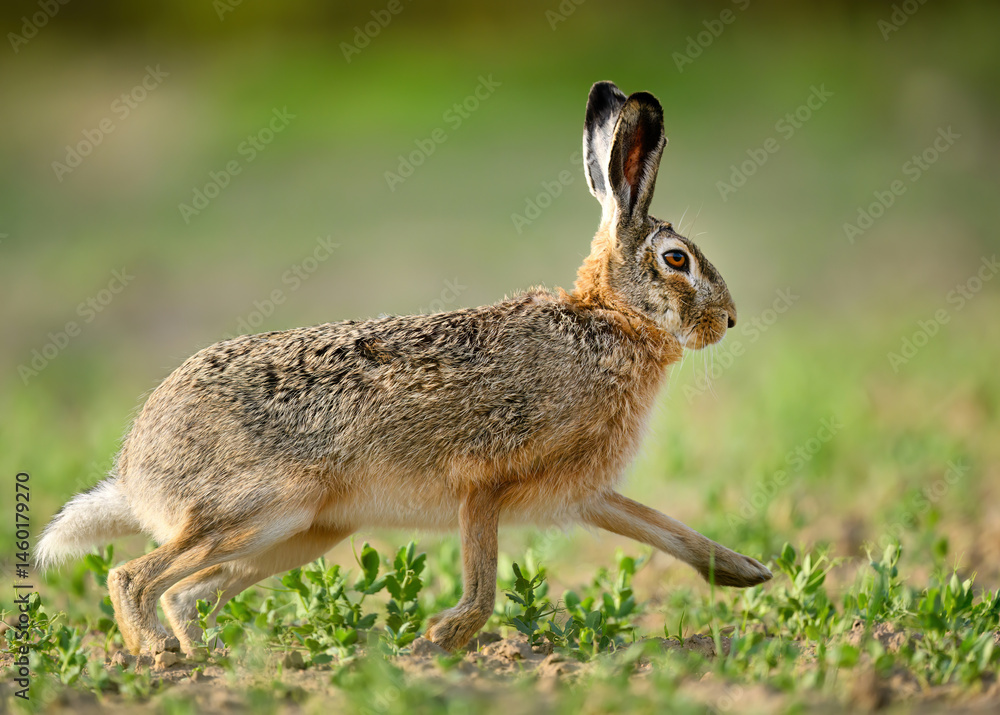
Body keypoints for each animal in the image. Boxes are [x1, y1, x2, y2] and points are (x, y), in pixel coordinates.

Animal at [36, 80, 771, 656]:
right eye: (677, 260)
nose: (731, 319)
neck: (610, 321)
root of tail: (136, 471)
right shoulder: (485, 484)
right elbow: (483, 581)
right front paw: (442, 639)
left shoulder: (581, 490)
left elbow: (661, 525)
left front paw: (746, 573)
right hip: (258, 508)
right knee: (135, 576)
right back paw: (157, 653)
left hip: (303, 531)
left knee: (187, 591)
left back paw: (205, 654)